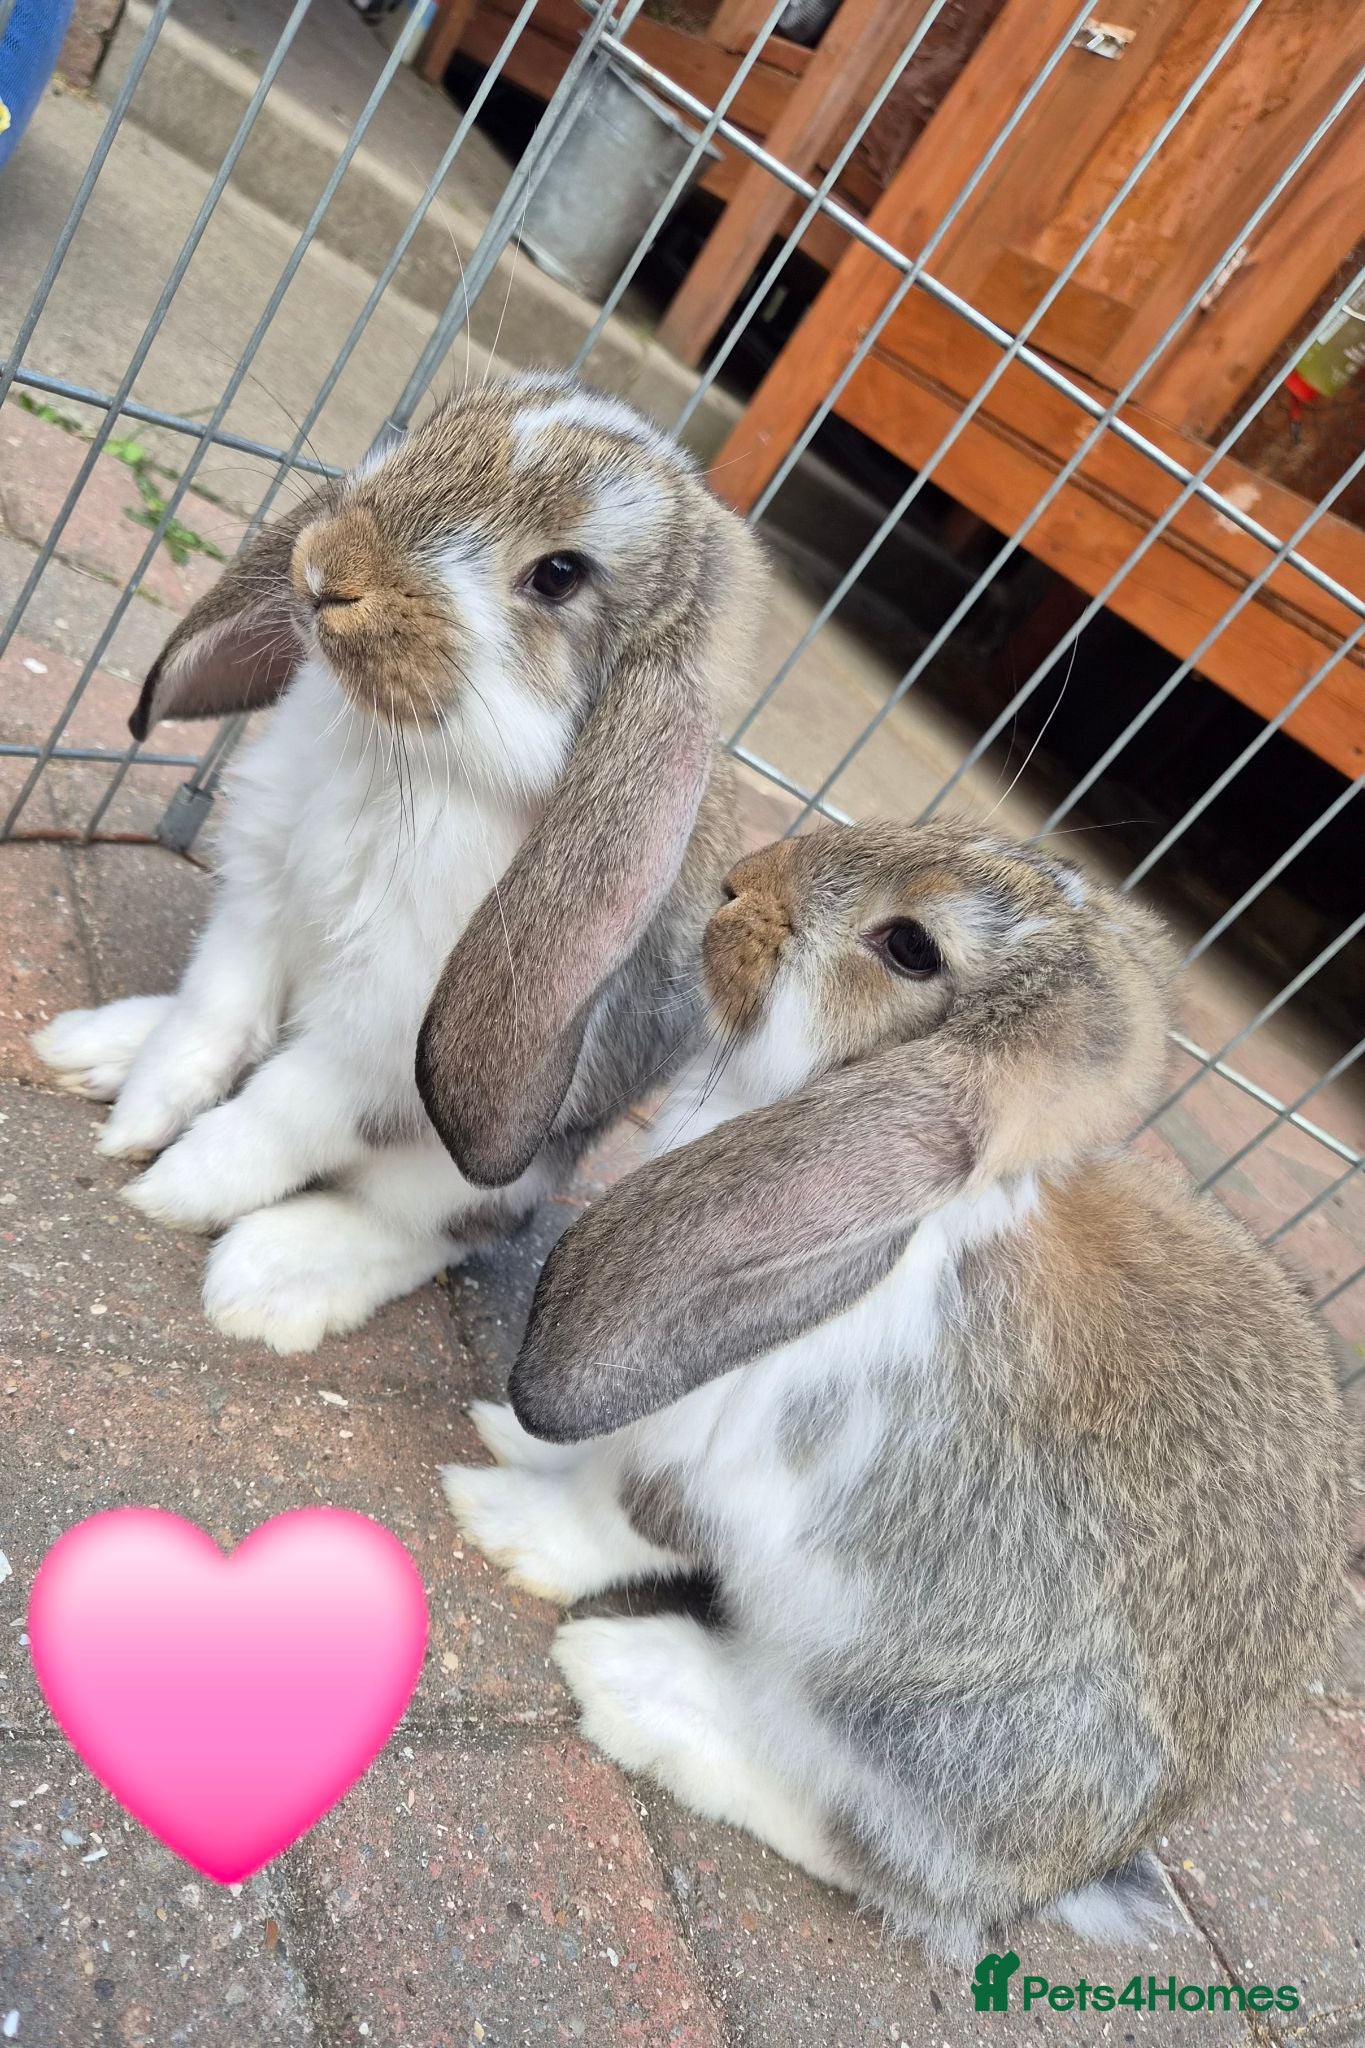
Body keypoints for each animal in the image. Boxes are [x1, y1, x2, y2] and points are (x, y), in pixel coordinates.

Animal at [33, 374, 761, 1351]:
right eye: (426, 436)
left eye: (559, 574)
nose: (327, 568)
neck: (401, 762)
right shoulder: (255, 911)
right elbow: (210, 1020)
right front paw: (139, 1121)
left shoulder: (373, 1040)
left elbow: (277, 1115)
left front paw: (172, 1193)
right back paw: (91, 1048)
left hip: (466, 1173)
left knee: (439, 1230)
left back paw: (270, 1280)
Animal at [443, 819, 1348, 1956]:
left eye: (911, 947)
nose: (739, 884)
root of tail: (1074, 1869)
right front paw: (508, 1438)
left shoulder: (722, 1459)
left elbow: (619, 1514)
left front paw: (499, 1524)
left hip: (923, 1724)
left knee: (876, 1851)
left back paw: (637, 1688)